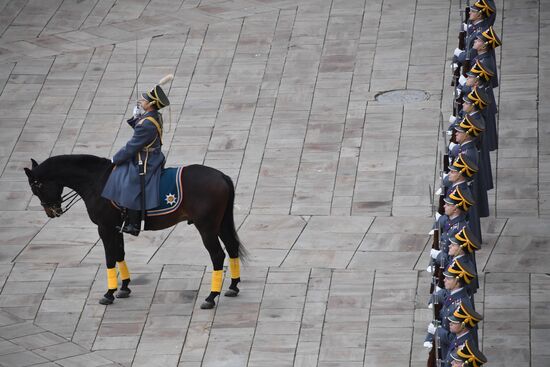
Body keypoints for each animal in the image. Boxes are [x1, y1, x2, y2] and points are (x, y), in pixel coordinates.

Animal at [23, 154, 248, 310]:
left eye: (36, 187)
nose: (51, 212)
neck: (97, 181)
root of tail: (221, 175)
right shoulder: (116, 228)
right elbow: (119, 254)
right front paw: (124, 287)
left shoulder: (104, 227)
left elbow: (109, 257)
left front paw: (109, 292)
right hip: (221, 223)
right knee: (232, 247)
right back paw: (233, 286)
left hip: (207, 227)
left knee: (217, 255)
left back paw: (211, 296)